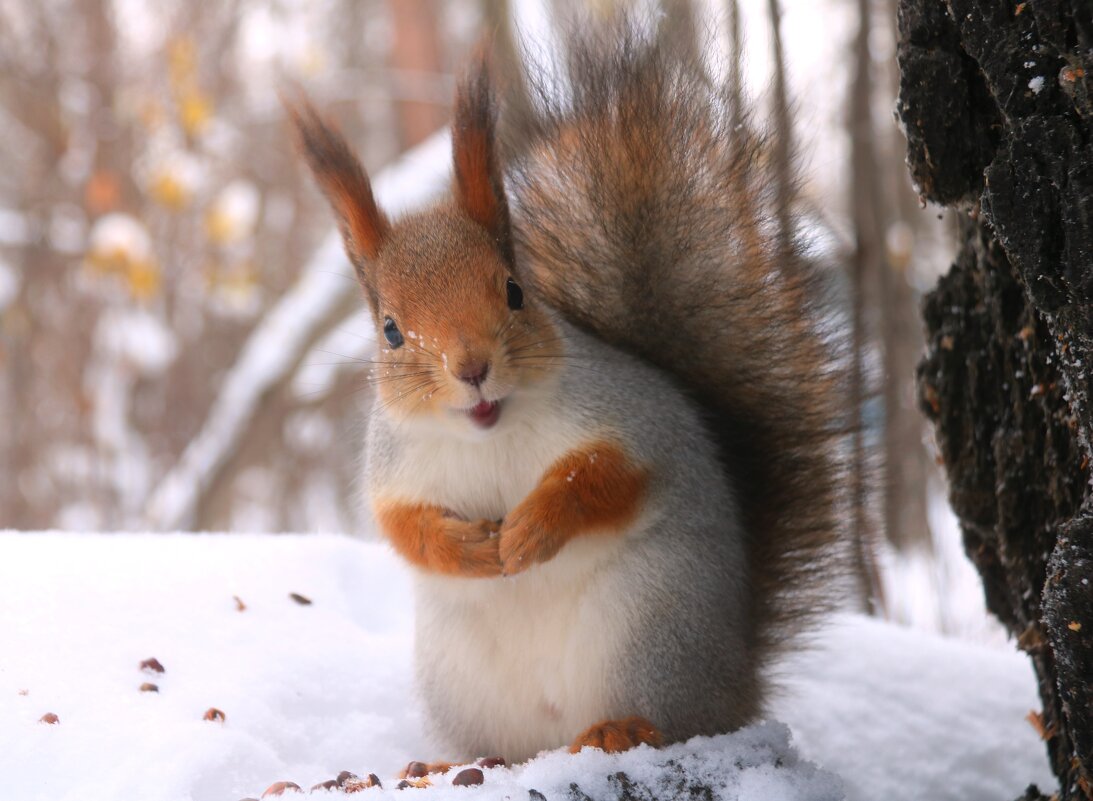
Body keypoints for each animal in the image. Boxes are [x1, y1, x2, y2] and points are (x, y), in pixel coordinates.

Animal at [288, 14, 843, 760]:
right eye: (391, 331)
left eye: (514, 292)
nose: (472, 368)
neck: (489, 433)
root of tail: (739, 683)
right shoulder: (394, 467)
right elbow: (403, 527)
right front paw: (467, 548)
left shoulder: (634, 419)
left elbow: (605, 476)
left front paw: (532, 527)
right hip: (461, 677)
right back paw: (457, 762)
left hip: (650, 630)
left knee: (673, 717)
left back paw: (622, 727)